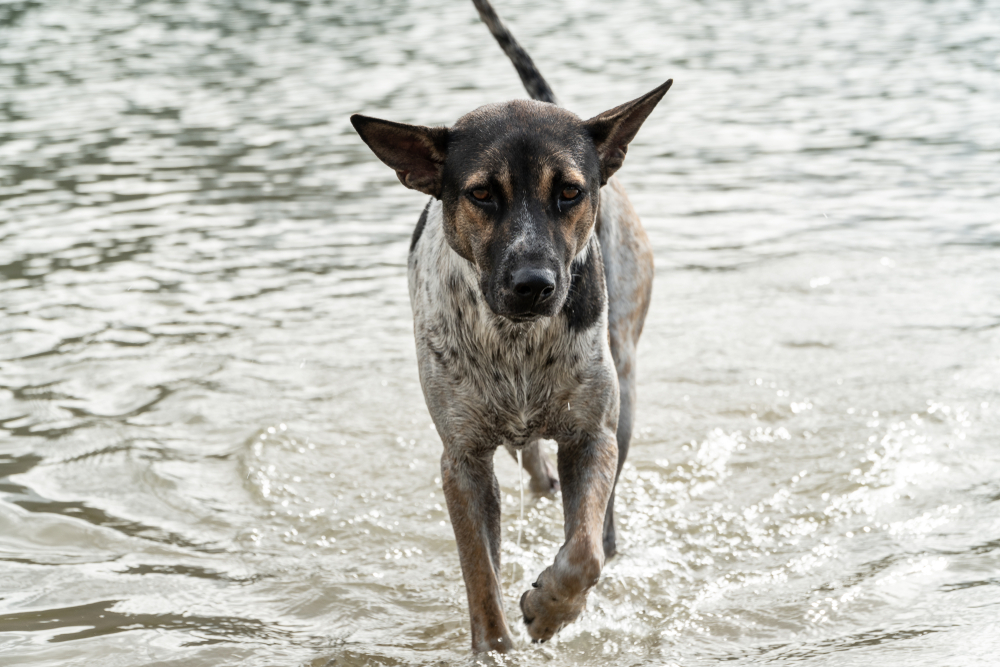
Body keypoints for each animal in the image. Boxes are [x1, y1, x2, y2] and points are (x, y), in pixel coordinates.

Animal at [352, 0, 672, 656]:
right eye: (482, 194)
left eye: (570, 191)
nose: (534, 284)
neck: (517, 343)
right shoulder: (461, 461)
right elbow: (481, 578)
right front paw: (495, 645)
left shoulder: (592, 436)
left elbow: (583, 553)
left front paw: (549, 609)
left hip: (624, 387)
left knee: (601, 522)